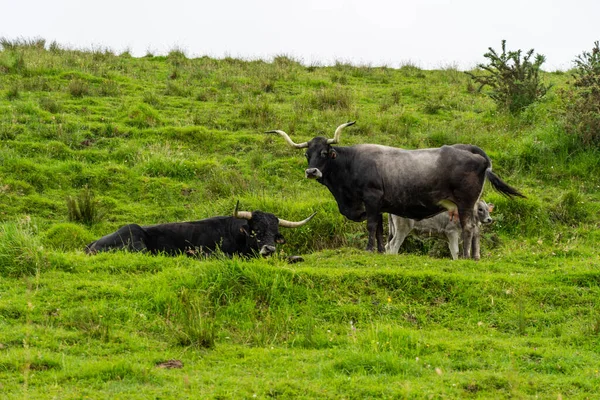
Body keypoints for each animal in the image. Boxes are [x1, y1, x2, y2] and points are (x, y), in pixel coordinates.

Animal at [268, 122, 524, 260]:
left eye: (324, 152)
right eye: (306, 153)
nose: (311, 171)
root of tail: (470, 150)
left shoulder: (371, 199)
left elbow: (371, 226)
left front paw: (369, 249)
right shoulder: (381, 206)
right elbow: (381, 230)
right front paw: (381, 251)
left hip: (465, 203)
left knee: (470, 228)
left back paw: (465, 256)